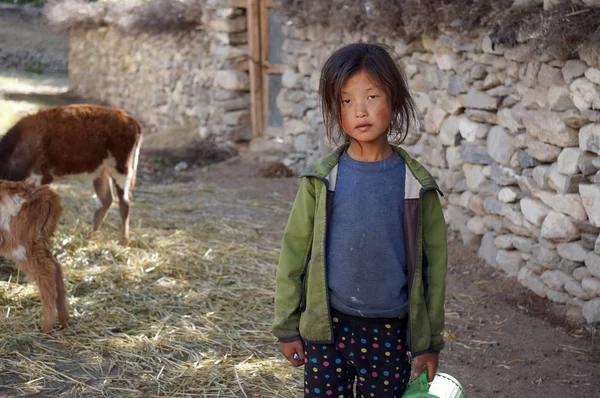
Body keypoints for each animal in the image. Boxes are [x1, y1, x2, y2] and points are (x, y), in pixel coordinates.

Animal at [0, 104, 143, 244]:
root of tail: (130, 119)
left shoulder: (36, 178)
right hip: (101, 172)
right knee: (106, 200)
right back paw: (89, 237)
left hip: (121, 169)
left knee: (124, 202)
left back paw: (123, 240)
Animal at [0, 180, 68, 332]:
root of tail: (47, 195)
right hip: (38, 241)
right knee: (56, 268)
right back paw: (63, 322)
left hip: (22, 246)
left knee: (46, 274)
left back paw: (46, 328)